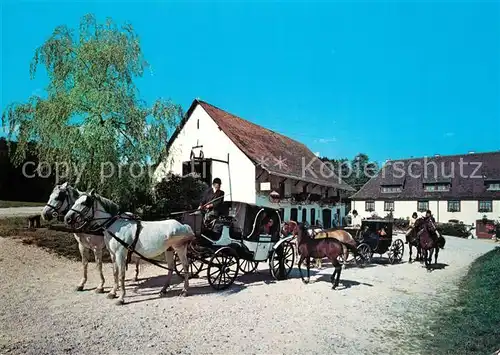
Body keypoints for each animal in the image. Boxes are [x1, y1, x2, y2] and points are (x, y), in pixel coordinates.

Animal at [63, 191, 195, 304]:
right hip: (169, 250)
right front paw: (112, 293)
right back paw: (163, 290)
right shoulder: (113, 254)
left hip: (180, 248)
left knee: (185, 266)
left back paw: (184, 291)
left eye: (85, 202)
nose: (67, 218)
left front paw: (121, 298)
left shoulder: (121, 253)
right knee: (171, 268)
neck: (115, 226)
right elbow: (115, 272)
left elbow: (122, 274)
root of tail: (183, 225)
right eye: (75, 200)